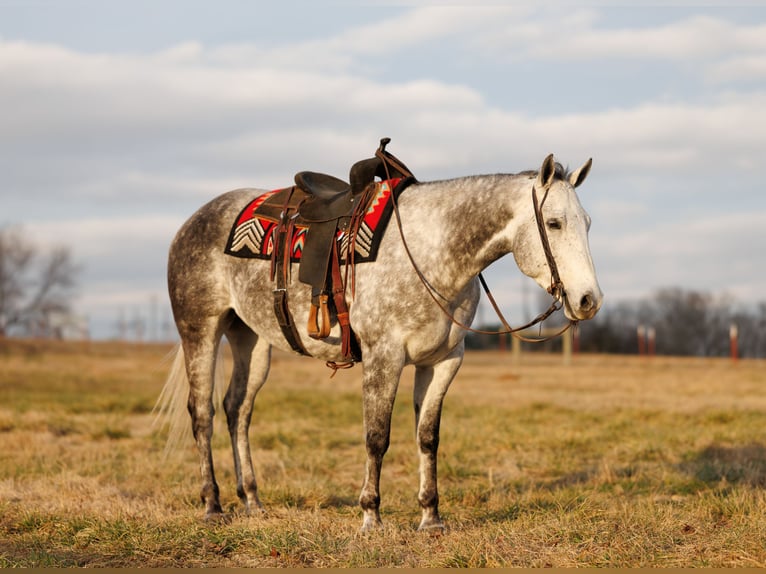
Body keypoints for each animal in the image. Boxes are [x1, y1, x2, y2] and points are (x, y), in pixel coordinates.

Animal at [156, 151, 603, 532]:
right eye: (554, 223)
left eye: (587, 223)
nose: (588, 300)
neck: (432, 252)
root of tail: (193, 220)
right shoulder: (383, 357)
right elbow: (377, 437)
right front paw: (371, 516)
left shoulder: (443, 361)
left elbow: (428, 437)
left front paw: (431, 517)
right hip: (201, 329)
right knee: (203, 413)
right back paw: (212, 505)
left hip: (251, 339)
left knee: (238, 410)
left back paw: (251, 500)